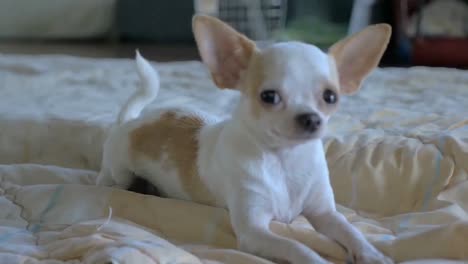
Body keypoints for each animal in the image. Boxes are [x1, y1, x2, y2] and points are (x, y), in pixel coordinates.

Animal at [97, 14, 394, 264]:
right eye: (269, 97)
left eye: (330, 96)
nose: (311, 118)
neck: (284, 160)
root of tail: (131, 121)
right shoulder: (254, 231)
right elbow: (296, 246)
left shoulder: (325, 214)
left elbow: (352, 232)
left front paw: (373, 255)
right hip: (118, 174)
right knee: (111, 180)